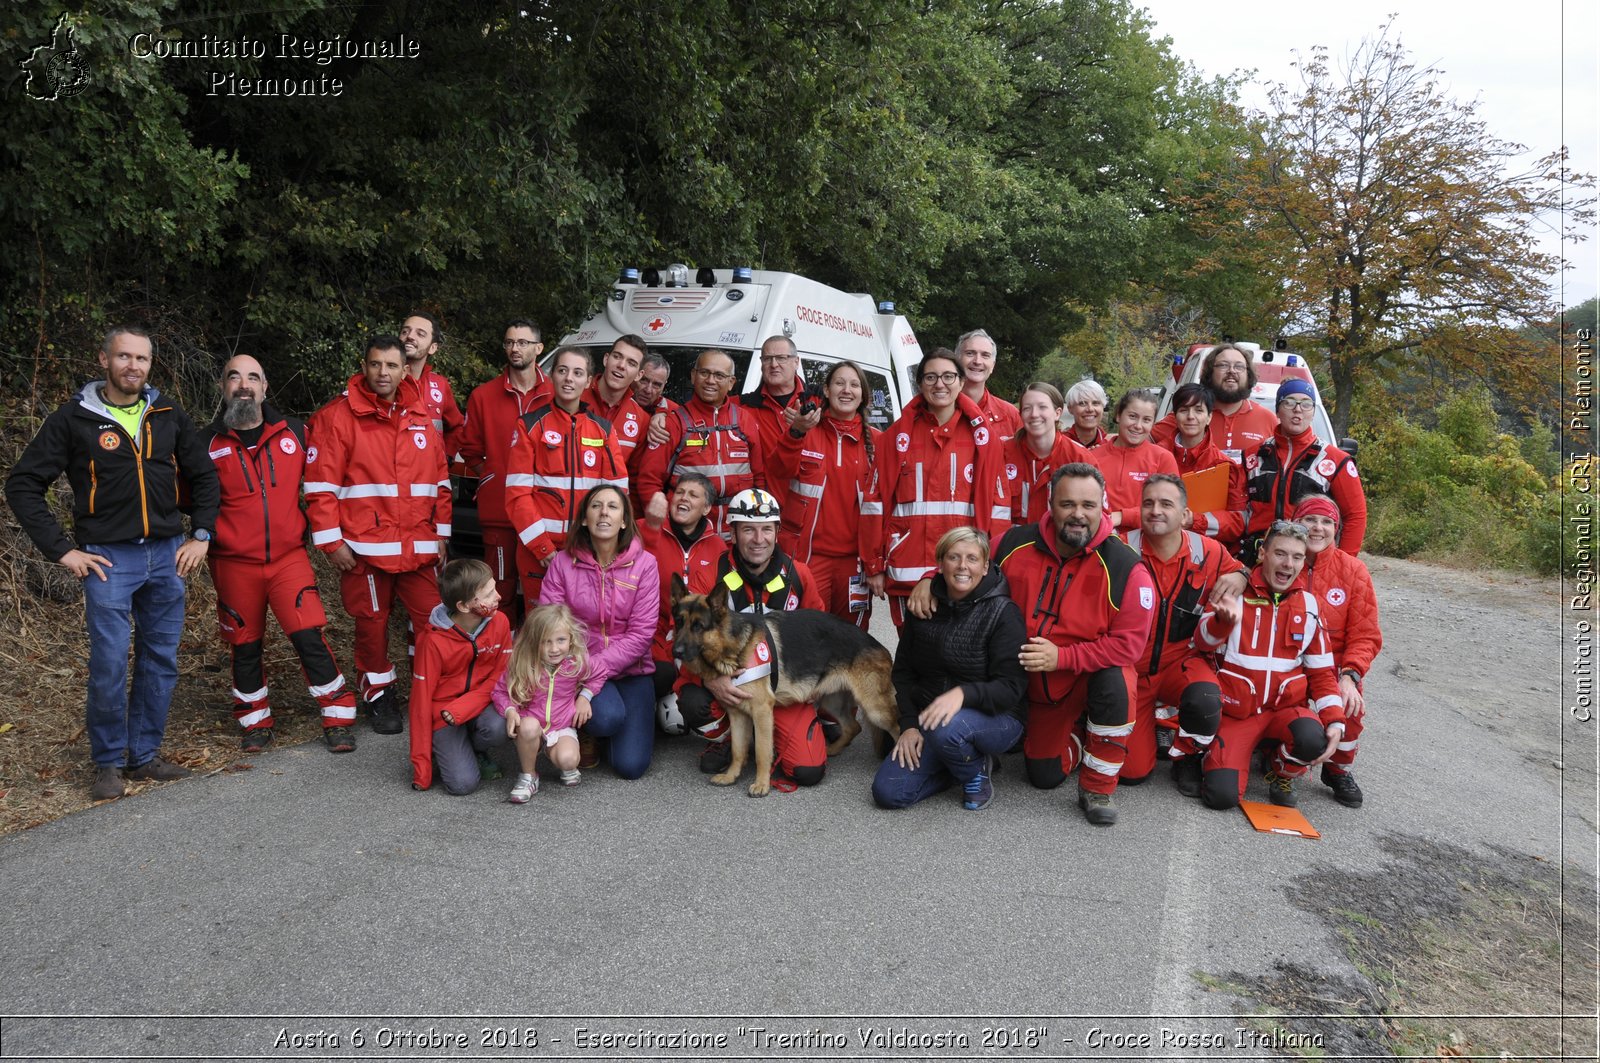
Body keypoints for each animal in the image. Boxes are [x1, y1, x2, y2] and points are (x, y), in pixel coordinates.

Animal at [668, 576, 902, 794]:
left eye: (698, 626)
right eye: (679, 622)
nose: (676, 652)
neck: (733, 647)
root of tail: (878, 645)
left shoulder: (761, 711)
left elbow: (762, 752)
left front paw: (762, 784)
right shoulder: (737, 713)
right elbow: (737, 750)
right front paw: (731, 776)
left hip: (875, 709)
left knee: (898, 728)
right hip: (832, 702)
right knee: (854, 726)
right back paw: (833, 749)